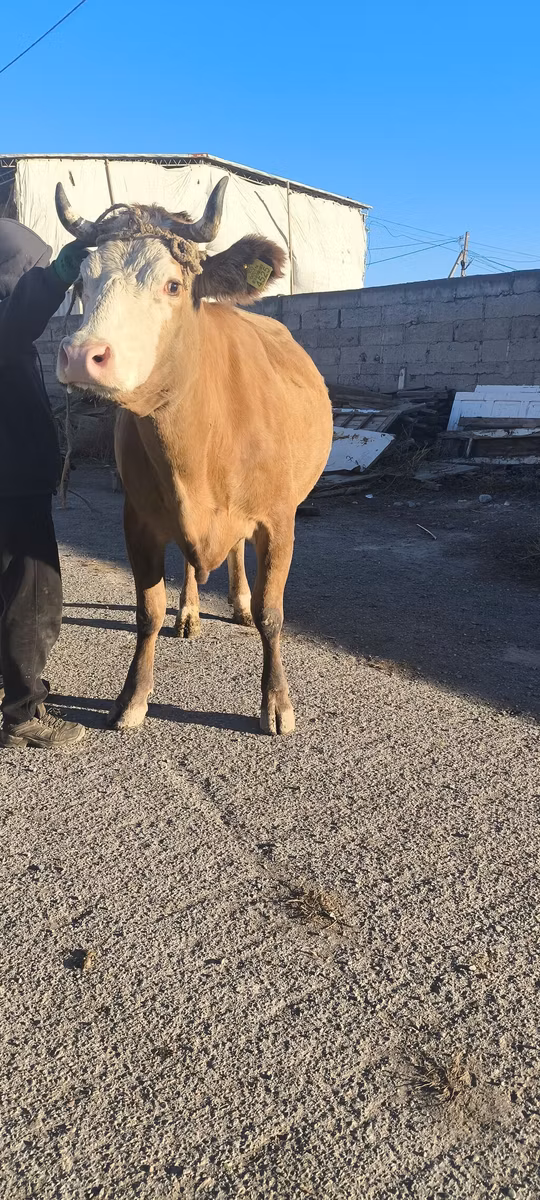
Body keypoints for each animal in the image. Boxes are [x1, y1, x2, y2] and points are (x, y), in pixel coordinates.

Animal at [55, 178, 333, 734]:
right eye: (83, 284)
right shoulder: (138, 517)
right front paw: (133, 697)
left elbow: (273, 613)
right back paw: (190, 612)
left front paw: (277, 702)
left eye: (172, 286)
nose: (80, 355)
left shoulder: (279, 519)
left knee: (237, 555)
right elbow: (147, 610)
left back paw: (238, 603)